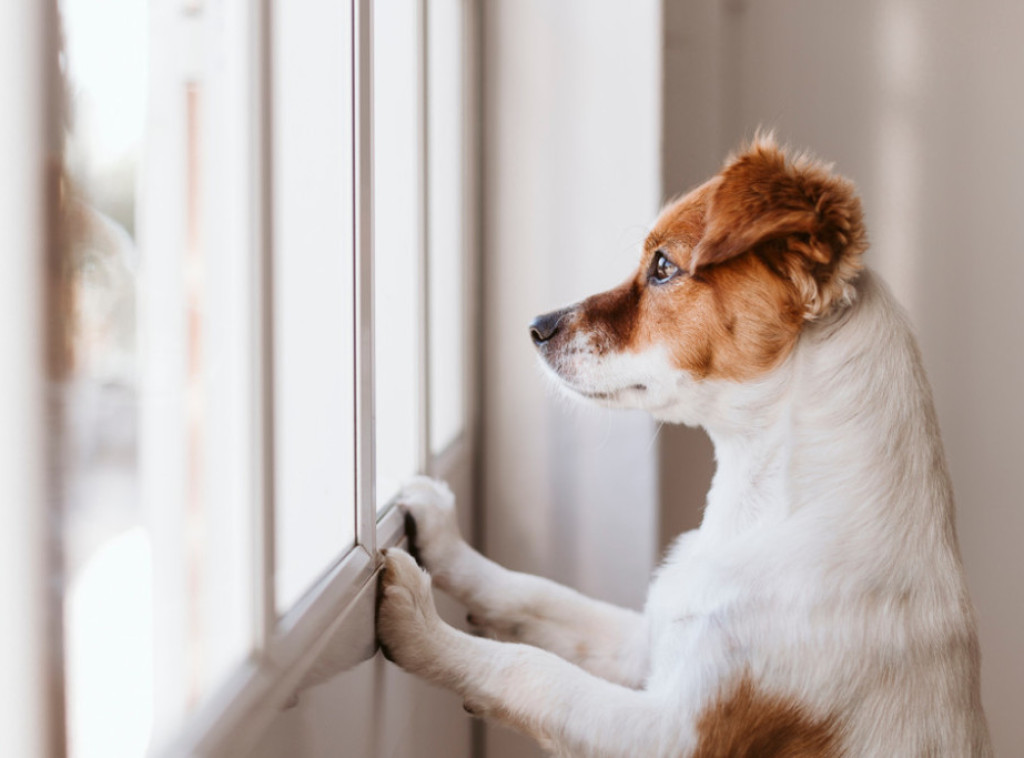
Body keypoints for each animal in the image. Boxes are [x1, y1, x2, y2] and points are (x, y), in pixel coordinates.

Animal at [376, 137, 991, 758]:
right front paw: (444, 539)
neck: (762, 512)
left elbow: (532, 671)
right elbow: (534, 595)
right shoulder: (648, 643)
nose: (536, 326)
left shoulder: (674, 733)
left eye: (664, 267)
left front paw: (421, 626)